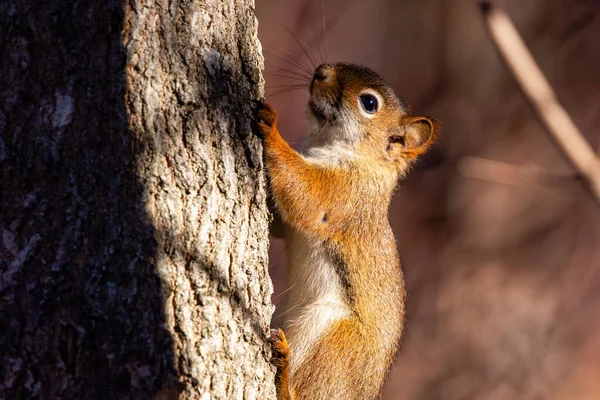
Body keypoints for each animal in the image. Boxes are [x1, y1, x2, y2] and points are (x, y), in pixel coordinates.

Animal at [253, 62, 440, 400]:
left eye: (369, 103)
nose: (321, 72)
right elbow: (283, 224)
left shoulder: (344, 195)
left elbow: (307, 196)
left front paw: (271, 128)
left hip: (336, 339)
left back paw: (283, 372)